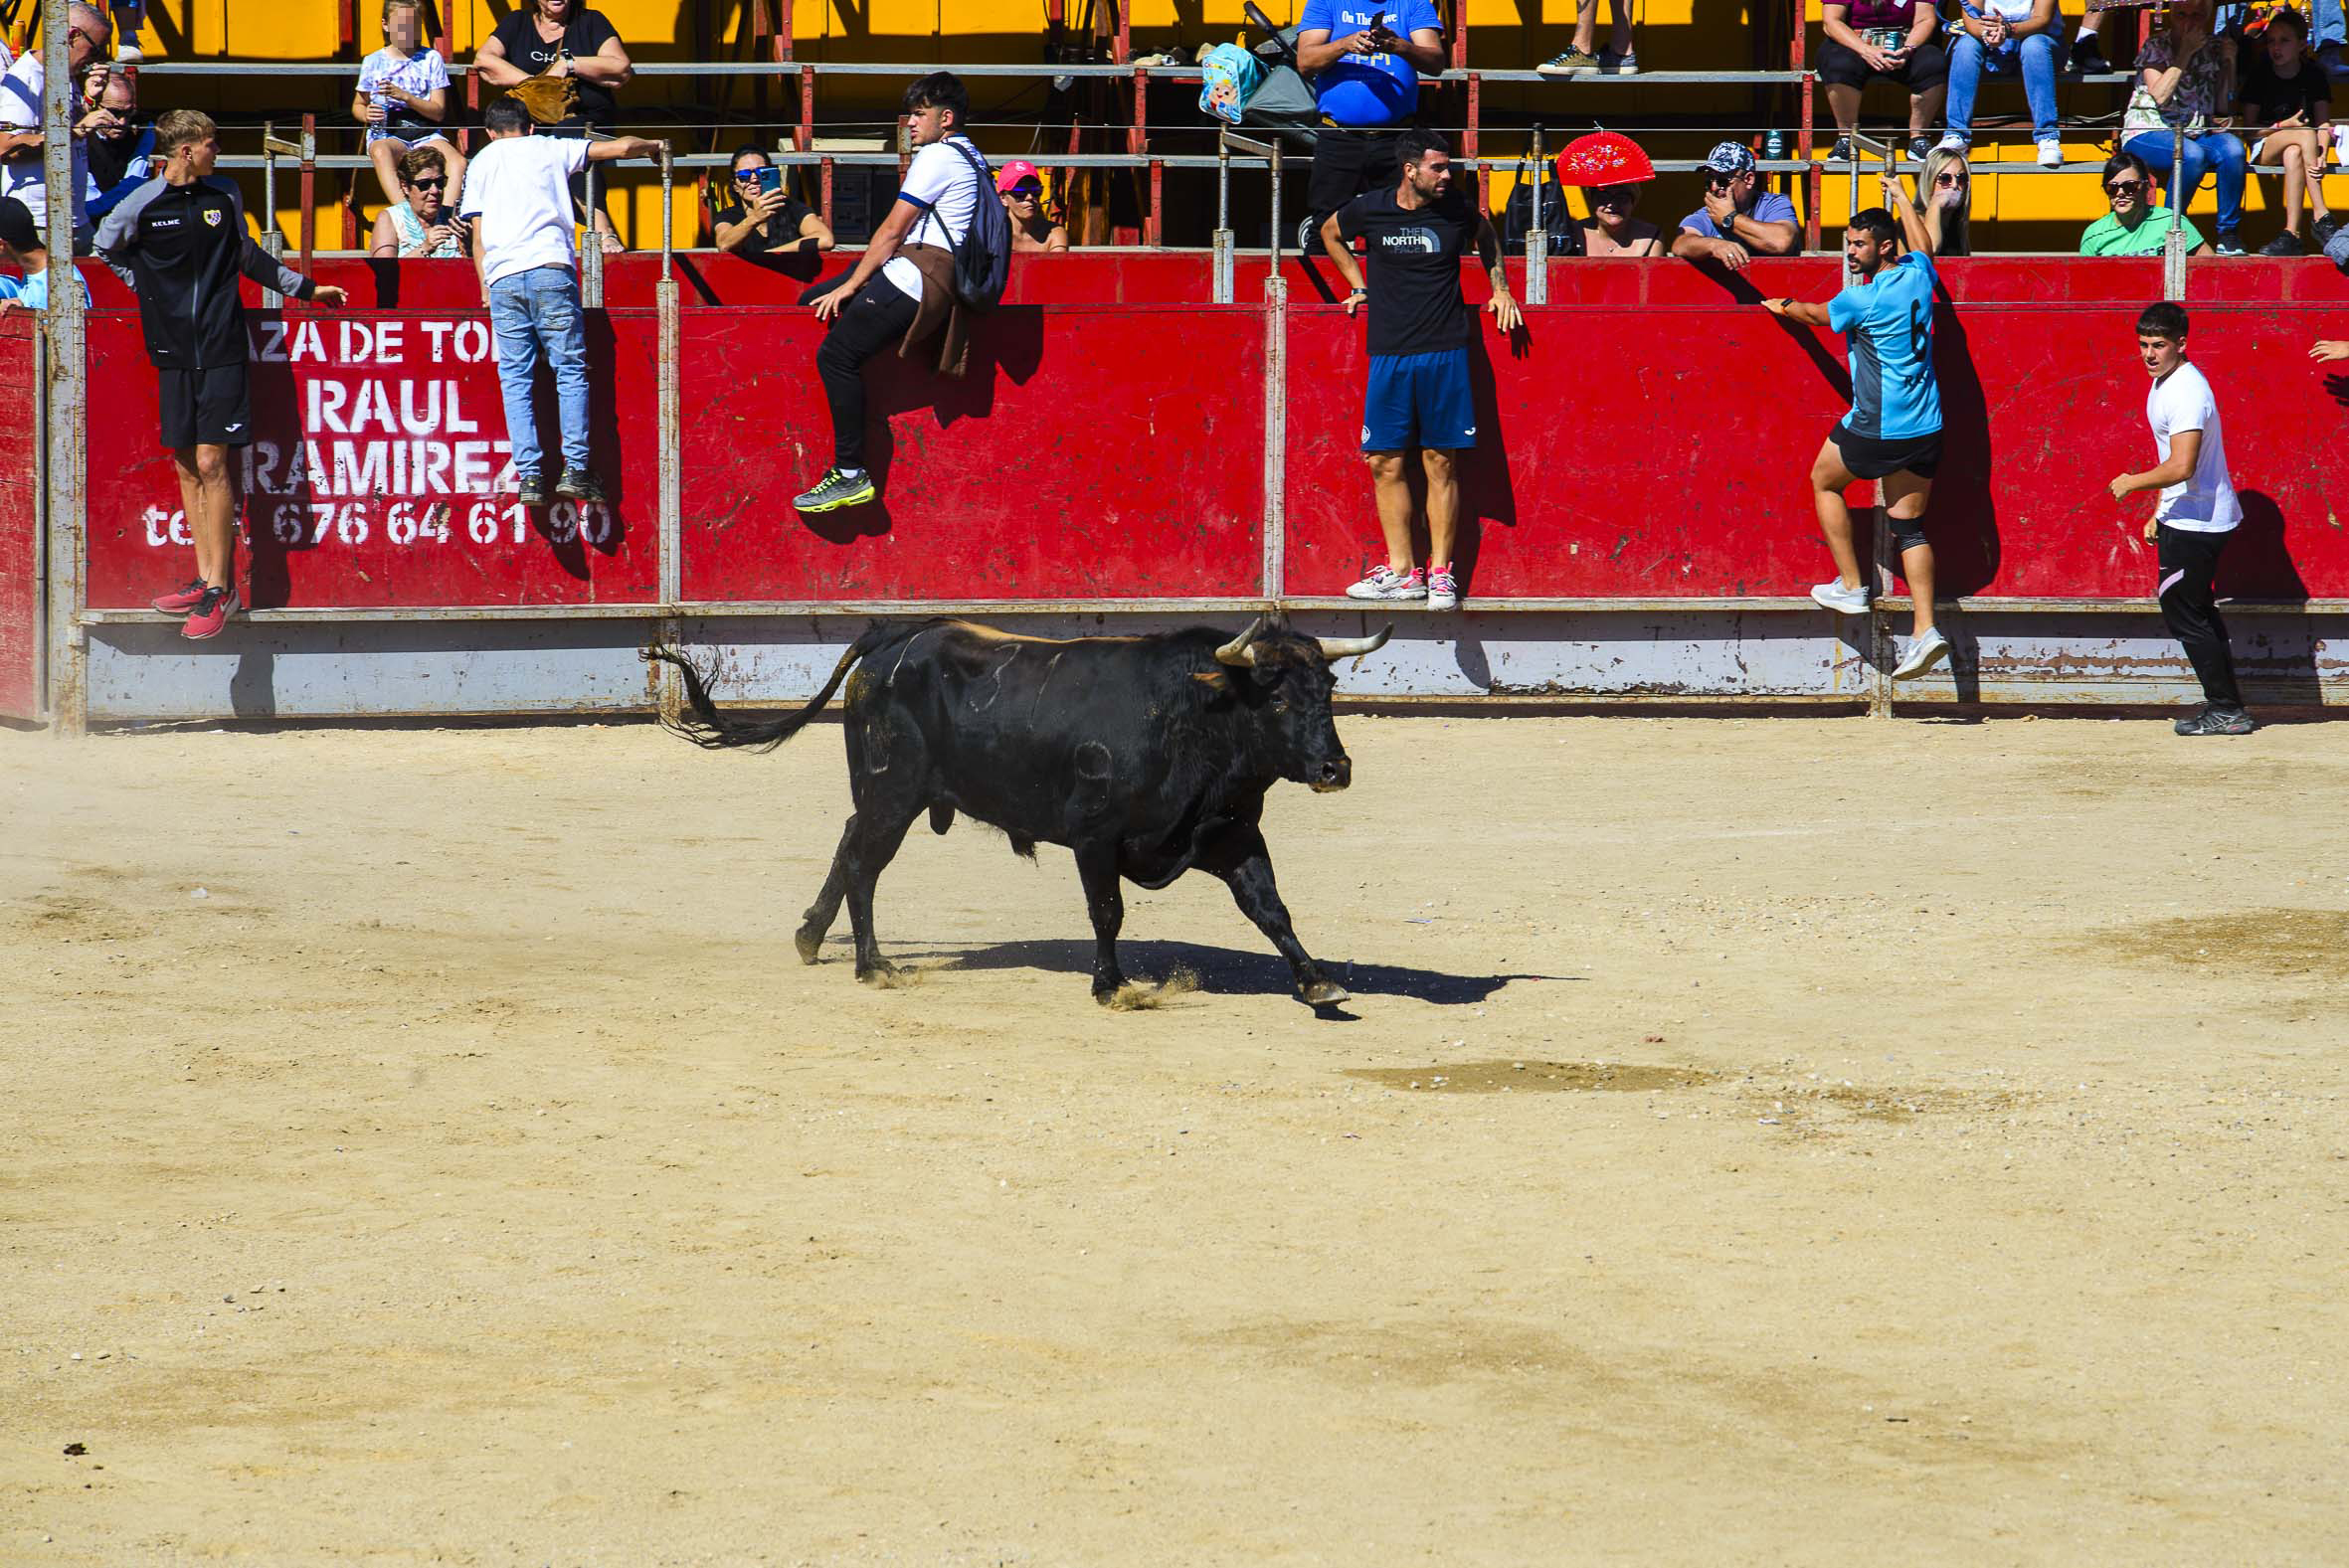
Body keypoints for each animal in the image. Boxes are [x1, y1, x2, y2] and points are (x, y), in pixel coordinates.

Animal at [633, 610, 1380, 1004]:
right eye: (1275, 696)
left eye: (1328, 689)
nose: (1334, 768)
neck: (1194, 714)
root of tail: (894, 636)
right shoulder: (1095, 837)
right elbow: (1107, 911)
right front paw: (1109, 984)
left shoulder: (1232, 833)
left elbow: (1271, 908)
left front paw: (1318, 983)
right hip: (894, 793)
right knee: (864, 864)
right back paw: (872, 965)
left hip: (882, 793)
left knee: (847, 847)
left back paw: (810, 939)